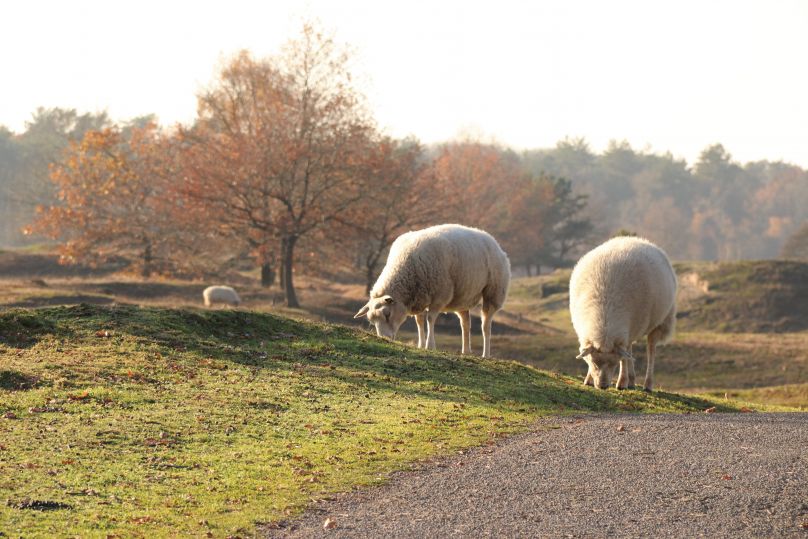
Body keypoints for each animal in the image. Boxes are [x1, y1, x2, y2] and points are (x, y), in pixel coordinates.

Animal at [356, 224, 512, 358]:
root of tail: (493, 242)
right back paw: (466, 351)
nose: (385, 338)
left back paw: (486, 354)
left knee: (486, 325)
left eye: (387, 314)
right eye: (372, 321)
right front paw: (420, 344)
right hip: (463, 297)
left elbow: (430, 319)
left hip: (494, 292)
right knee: (465, 324)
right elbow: (419, 321)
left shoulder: (439, 296)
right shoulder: (419, 297)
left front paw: (430, 345)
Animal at [568, 236, 676, 392]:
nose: (603, 386)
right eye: (594, 362)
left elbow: (624, 359)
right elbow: (624, 355)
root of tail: (636, 239)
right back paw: (631, 380)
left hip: (660, 321)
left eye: (613, 364)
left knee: (650, 349)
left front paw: (622, 382)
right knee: (630, 350)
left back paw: (647, 384)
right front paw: (588, 379)